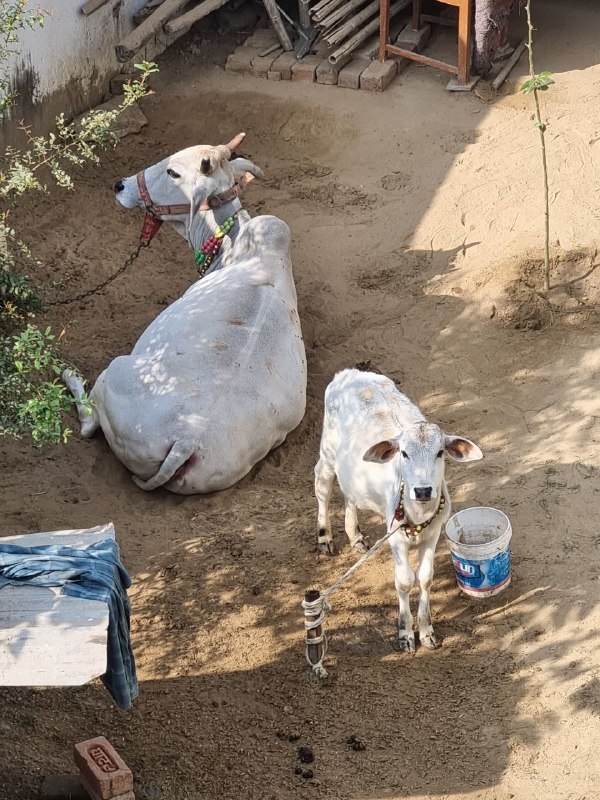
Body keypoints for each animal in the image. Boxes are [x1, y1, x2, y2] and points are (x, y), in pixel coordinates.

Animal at [65, 132, 308, 494]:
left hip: (115, 373)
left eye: (173, 172)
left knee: (87, 424)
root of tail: (187, 438)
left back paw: (69, 376)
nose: (120, 185)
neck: (233, 244)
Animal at [314, 368, 482, 648]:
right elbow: (404, 582)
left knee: (349, 494)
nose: (423, 490)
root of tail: (349, 373)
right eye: (403, 453)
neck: (418, 514)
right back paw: (324, 536)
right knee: (322, 486)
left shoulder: (433, 534)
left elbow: (425, 578)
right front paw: (405, 632)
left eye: (440, 453)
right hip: (327, 452)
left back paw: (355, 535)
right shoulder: (395, 538)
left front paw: (426, 631)